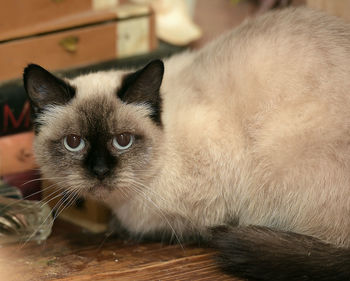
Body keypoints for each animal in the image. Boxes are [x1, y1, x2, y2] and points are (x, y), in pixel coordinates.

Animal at [23, 6, 348, 280]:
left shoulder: (214, 207)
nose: (100, 172)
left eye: (123, 140)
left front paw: (116, 227)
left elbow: (163, 229)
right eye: (74, 142)